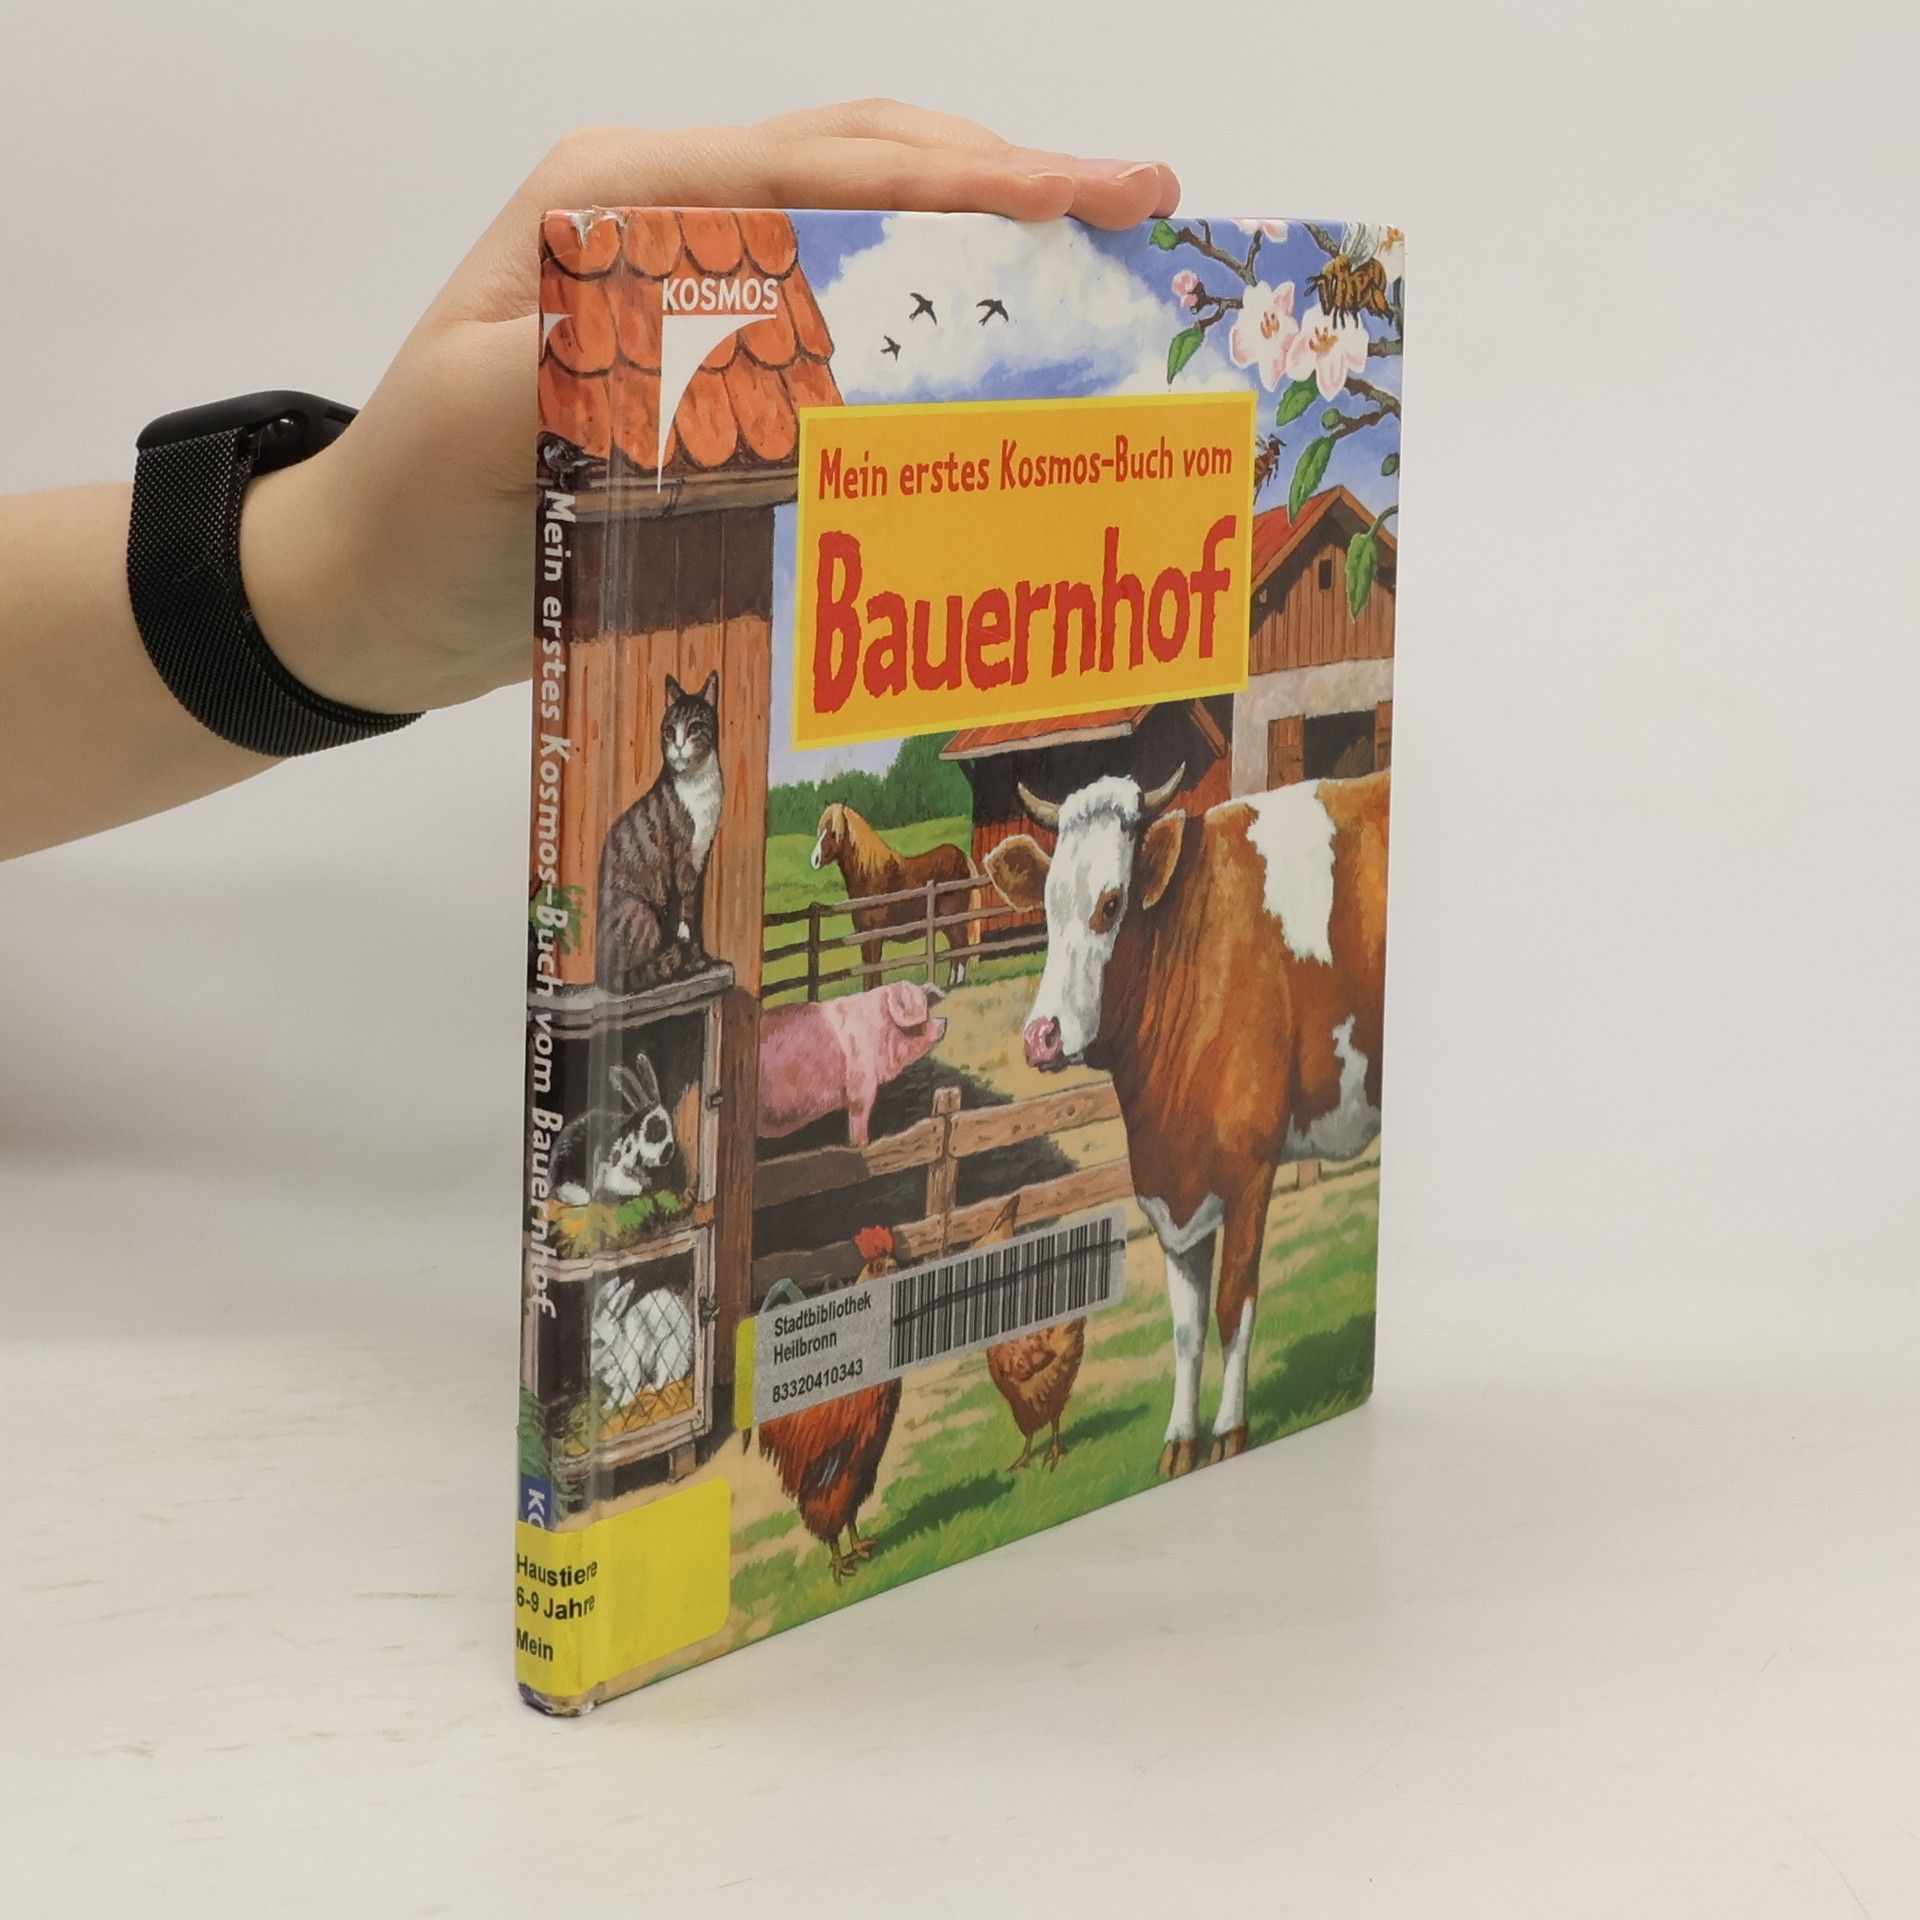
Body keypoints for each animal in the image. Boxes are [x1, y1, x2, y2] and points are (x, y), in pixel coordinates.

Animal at [596, 671, 723, 994]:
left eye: (694, 728)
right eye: (668, 730)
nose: (677, 745)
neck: (699, 786)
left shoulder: (702, 854)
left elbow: (694, 911)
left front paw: (699, 957)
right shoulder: (681, 859)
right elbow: (685, 916)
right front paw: (693, 960)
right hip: (643, 911)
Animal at [757, 982, 948, 1147]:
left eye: (928, 1008)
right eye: (920, 1014)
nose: (944, 1022)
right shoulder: (862, 1084)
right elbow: (859, 1117)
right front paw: (862, 1145)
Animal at [985, 763, 1389, 1475]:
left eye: (1111, 904)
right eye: (1047, 906)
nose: (1041, 1037)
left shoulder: (1250, 1173)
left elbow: (1233, 1306)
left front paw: (1229, 1428)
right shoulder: (1171, 1187)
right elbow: (1186, 1327)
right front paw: (1179, 1438)